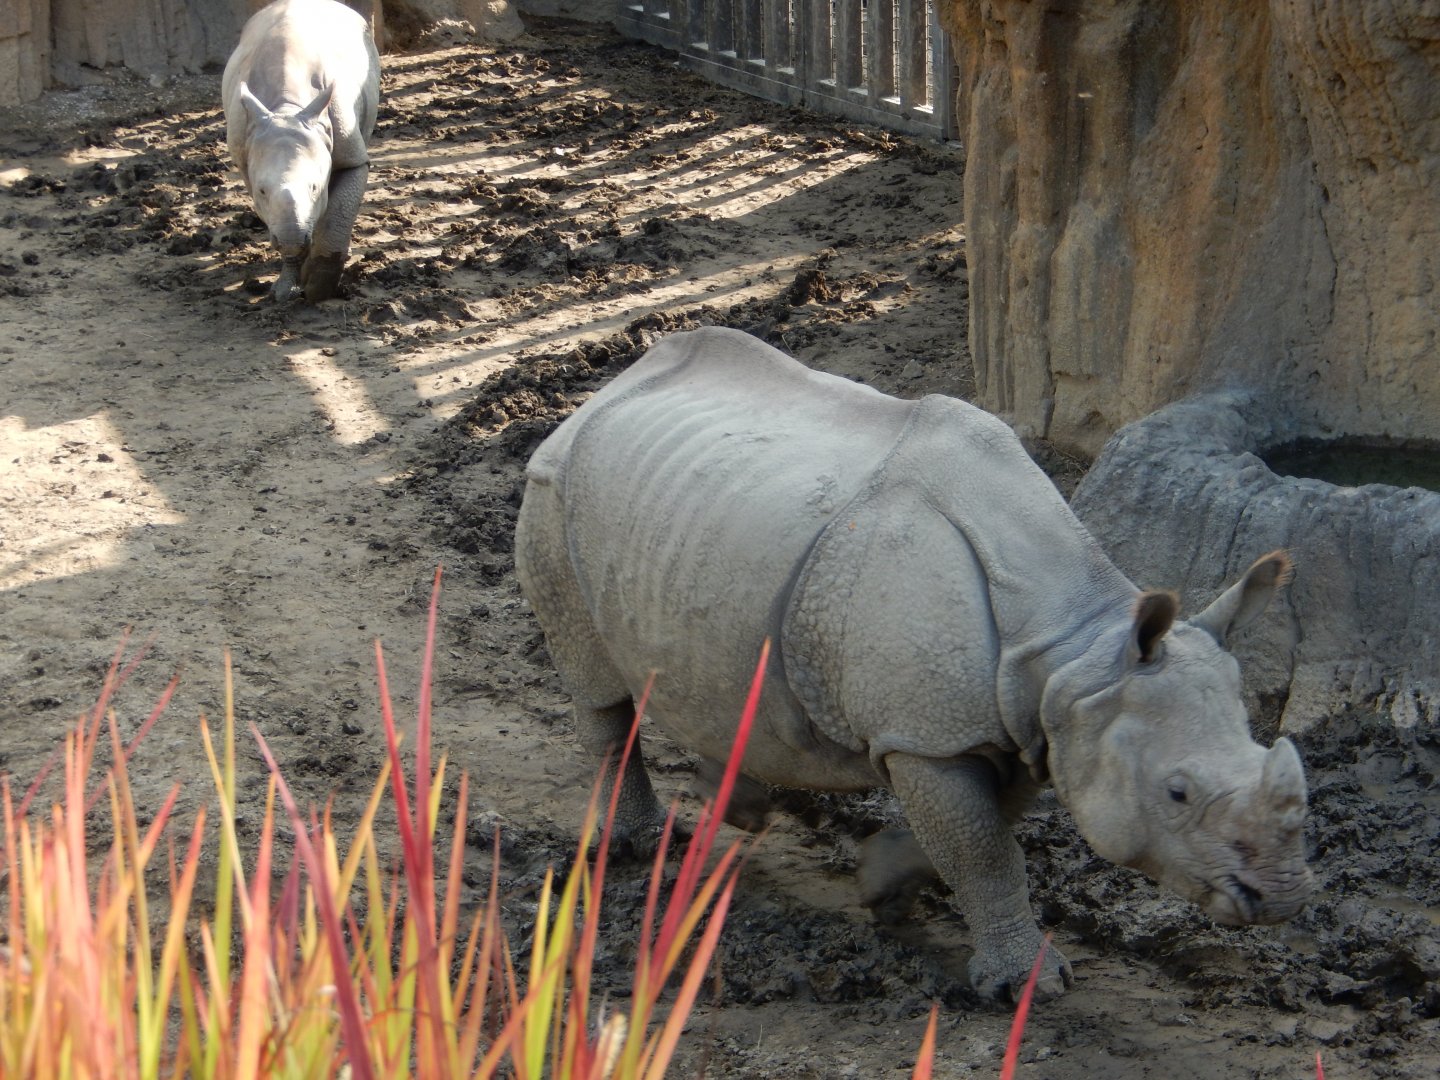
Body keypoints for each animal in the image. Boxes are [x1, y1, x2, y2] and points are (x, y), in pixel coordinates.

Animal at [222, 0, 381, 302]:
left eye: (316, 187)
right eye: (262, 191)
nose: (293, 240)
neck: (286, 109)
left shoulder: (351, 155)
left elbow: (339, 208)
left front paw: (318, 287)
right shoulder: (246, 159)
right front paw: (285, 290)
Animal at [514, 326, 1313, 1000]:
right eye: (1177, 793)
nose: (1280, 896)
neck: (1080, 646)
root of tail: (609, 388)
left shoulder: (1018, 721)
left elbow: (978, 834)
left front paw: (881, 886)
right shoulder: (932, 734)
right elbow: (986, 850)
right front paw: (1027, 988)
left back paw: (735, 804)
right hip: (552, 492)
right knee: (598, 685)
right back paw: (642, 847)